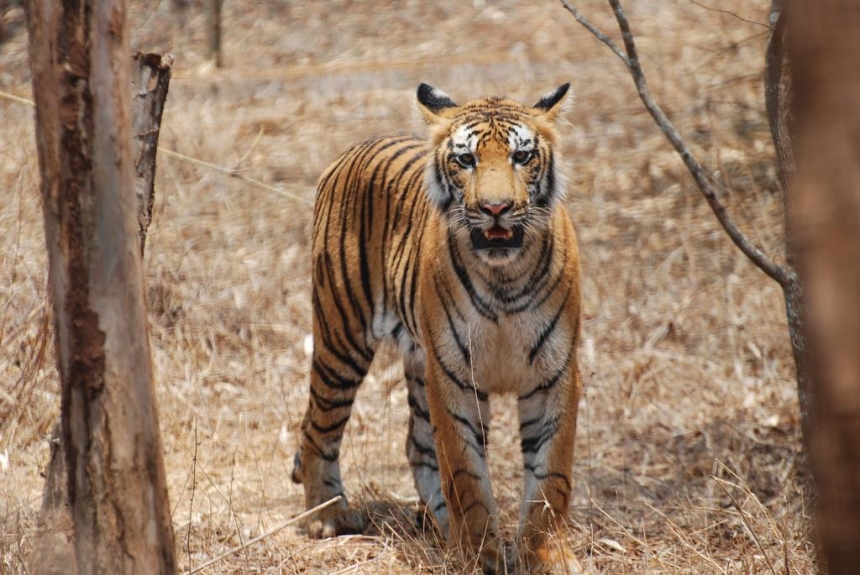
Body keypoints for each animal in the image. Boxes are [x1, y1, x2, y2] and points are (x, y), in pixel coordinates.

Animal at [291, 83, 584, 575]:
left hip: (415, 359)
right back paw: (327, 516)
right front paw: (478, 554)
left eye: (522, 156)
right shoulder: (455, 376)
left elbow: (550, 476)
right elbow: (466, 474)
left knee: (416, 444)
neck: (504, 278)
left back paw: (437, 524)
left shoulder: (555, 374)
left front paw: (546, 556)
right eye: (465, 160)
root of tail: (355, 148)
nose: (496, 208)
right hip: (342, 335)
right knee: (318, 425)